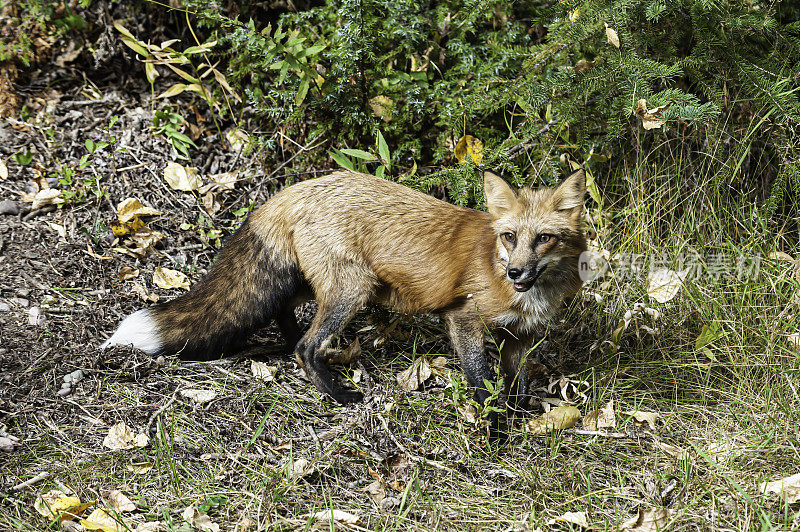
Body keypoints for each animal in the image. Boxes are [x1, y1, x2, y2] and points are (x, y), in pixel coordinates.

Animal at [101, 169, 588, 432]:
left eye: (544, 239)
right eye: (509, 237)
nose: (516, 273)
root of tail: (299, 187)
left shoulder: (519, 337)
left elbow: (516, 383)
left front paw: (518, 415)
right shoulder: (463, 317)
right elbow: (482, 382)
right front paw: (495, 428)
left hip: (315, 282)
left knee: (285, 315)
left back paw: (287, 345)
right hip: (352, 290)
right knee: (307, 347)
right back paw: (337, 394)